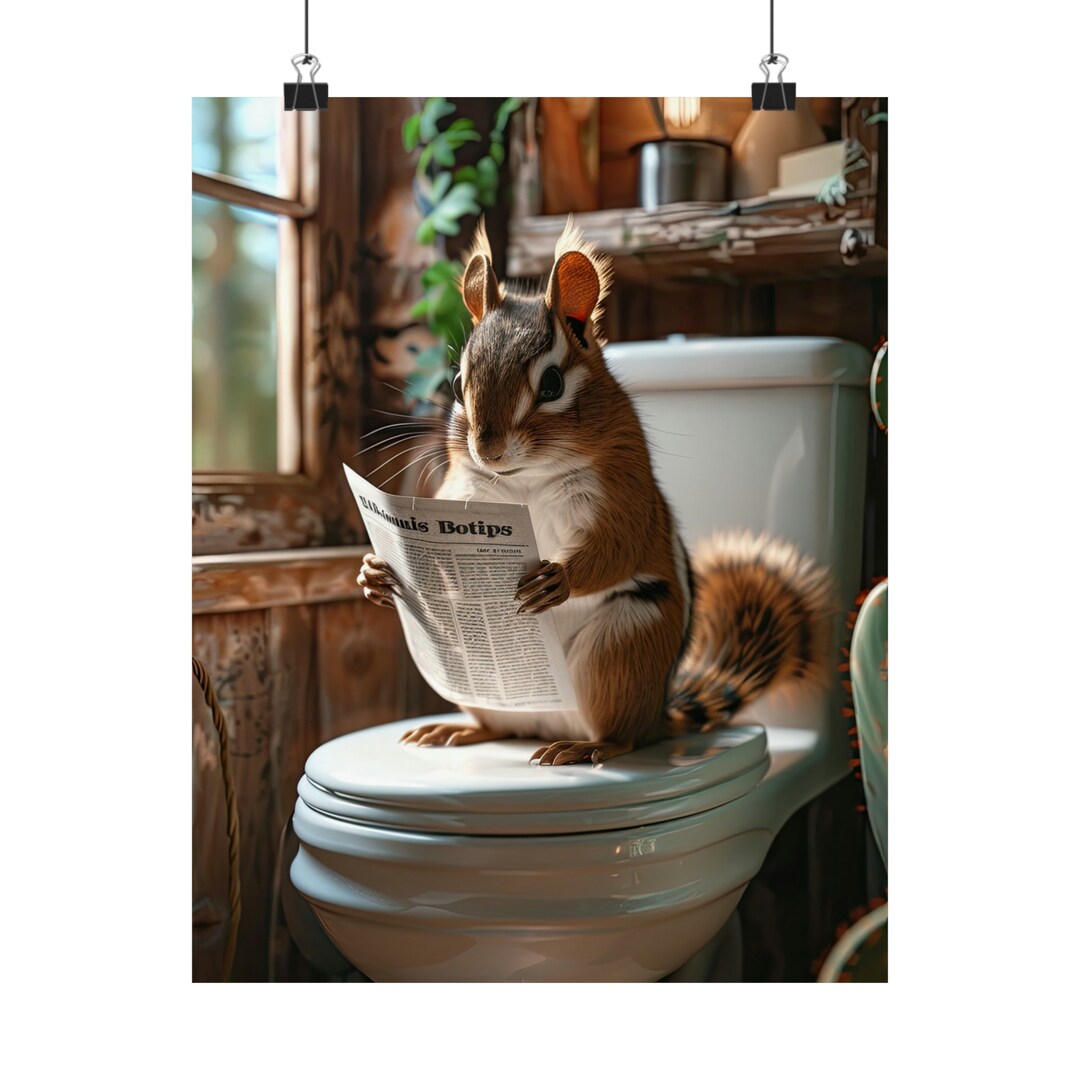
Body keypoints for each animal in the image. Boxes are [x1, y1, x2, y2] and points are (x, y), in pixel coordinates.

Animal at [358, 218, 836, 765]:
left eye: (551, 384)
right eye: (458, 385)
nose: (488, 449)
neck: (524, 478)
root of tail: (659, 716)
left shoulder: (621, 489)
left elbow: (618, 545)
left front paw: (558, 580)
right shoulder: (461, 492)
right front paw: (375, 573)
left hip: (621, 648)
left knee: (623, 735)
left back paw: (585, 747)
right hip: (481, 679)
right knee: (502, 727)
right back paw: (455, 730)